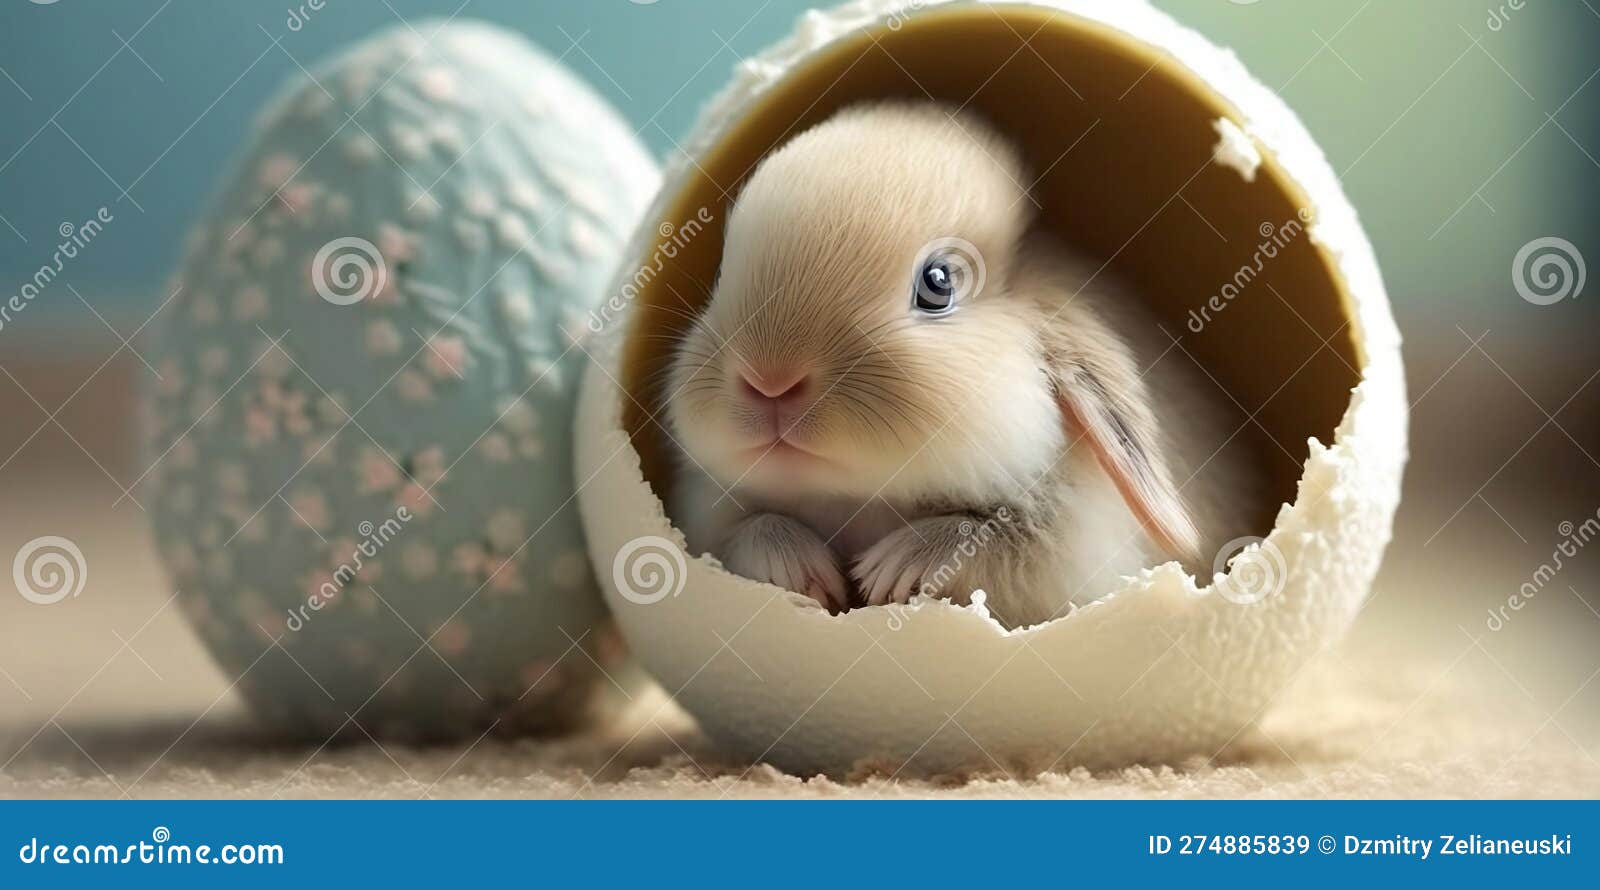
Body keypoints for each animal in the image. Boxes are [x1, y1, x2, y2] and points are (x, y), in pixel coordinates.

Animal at [663, 101, 1263, 629]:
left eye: (939, 283)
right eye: (719, 275)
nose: (770, 381)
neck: (855, 499)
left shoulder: (1066, 546)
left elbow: (983, 538)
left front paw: (889, 570)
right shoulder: (711, 516)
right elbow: (753, 529)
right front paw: (807, 572)